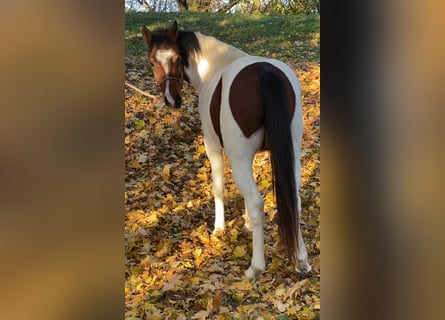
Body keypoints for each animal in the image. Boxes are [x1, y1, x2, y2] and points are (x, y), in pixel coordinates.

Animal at [141, 20, 308, 280]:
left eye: (177, 58)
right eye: (152, 61)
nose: (172, 99)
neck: (215, 67)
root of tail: (266, 73)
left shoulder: (214, 147)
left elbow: (218, 188)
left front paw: (219, 228)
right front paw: (247, 223)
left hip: (238, 159)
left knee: (257, 203)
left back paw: (255, 267)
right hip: (291, 155)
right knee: (294, 200)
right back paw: (301, 261)